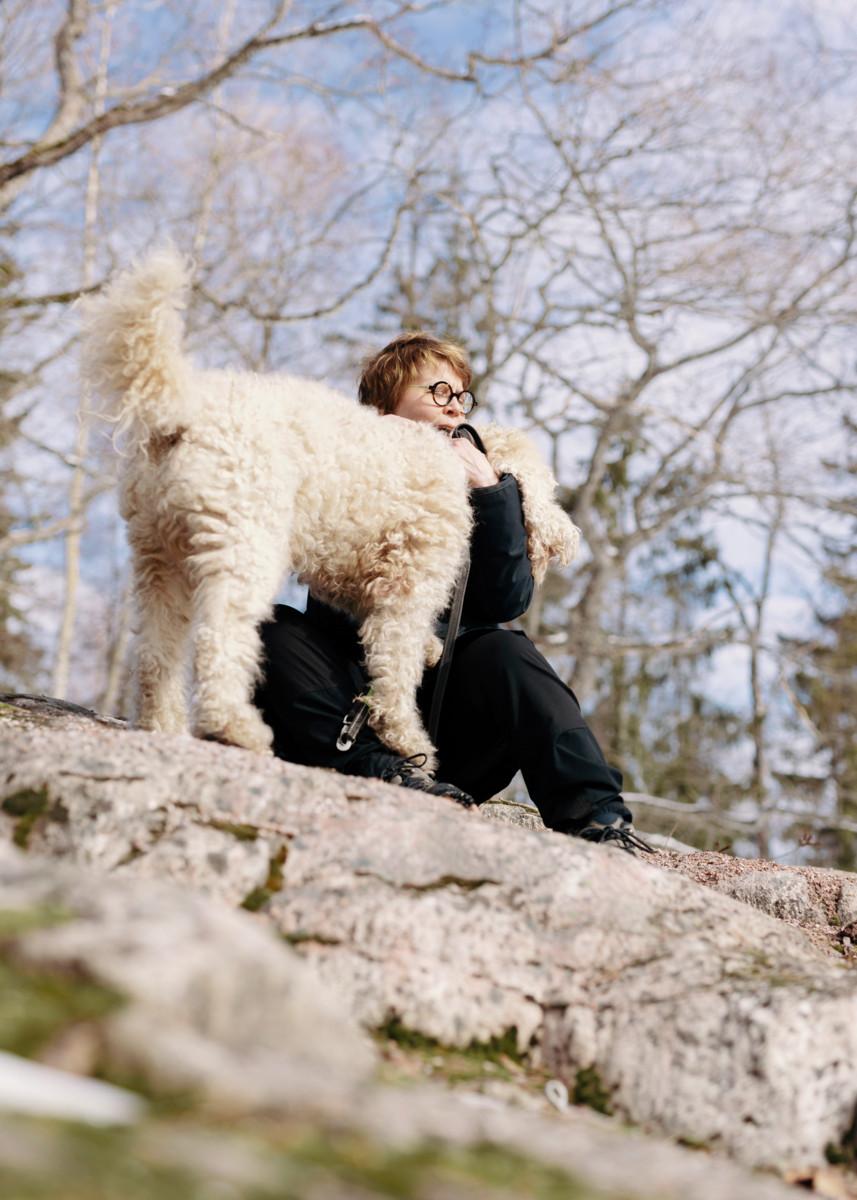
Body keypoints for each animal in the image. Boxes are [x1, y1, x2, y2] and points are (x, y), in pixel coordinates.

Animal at [80, 247, 578, 763]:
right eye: (550, 488)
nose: (568, 540)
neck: (455, 460)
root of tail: (182, 411)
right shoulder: (409, 586)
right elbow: (394, 666)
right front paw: (407, 739)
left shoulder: (361, 578)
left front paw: (429, 655)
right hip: (243, 546)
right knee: (219, 638)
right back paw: (236, 727)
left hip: (161, 559)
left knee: (156, 654)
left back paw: (164, 726)